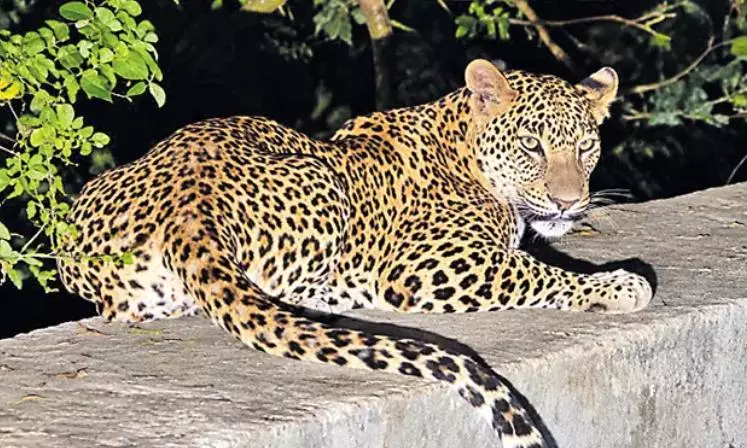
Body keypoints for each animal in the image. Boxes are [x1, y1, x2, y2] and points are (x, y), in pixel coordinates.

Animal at [57, 59, 653, 448]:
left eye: (586, 146)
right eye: (532, 145)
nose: (569, 201)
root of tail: (187, 199)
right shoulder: (428, 266)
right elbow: (533, 271)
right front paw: (620, 284)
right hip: (321, 181)